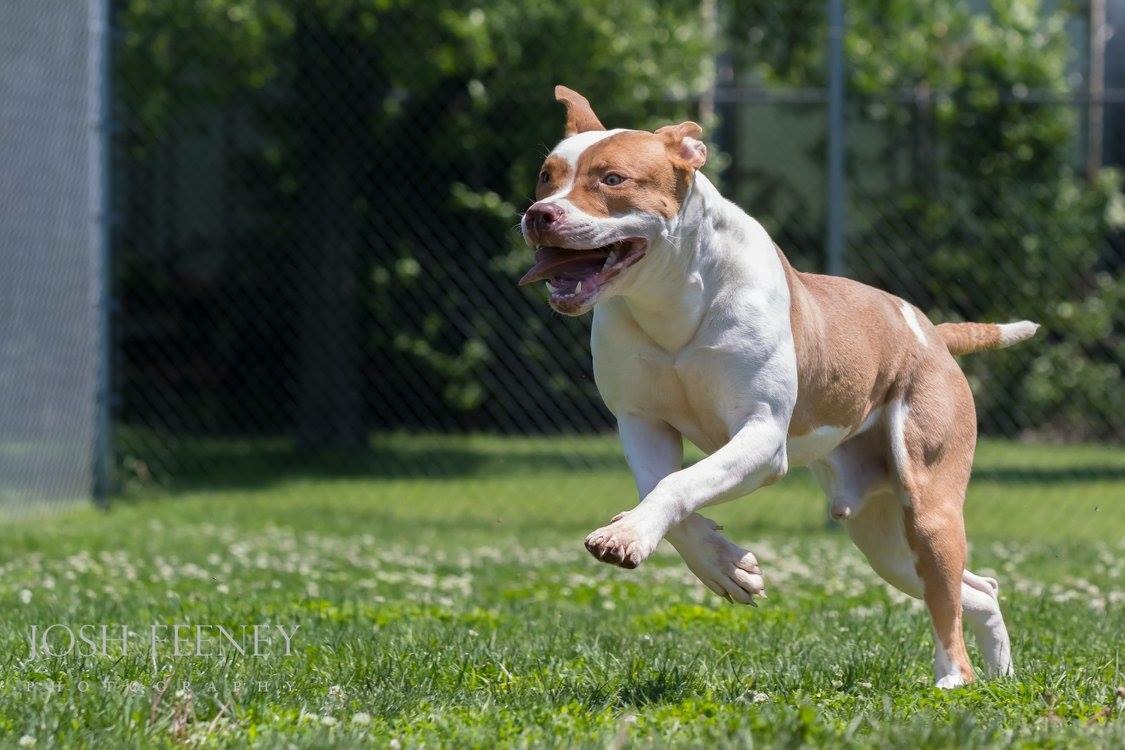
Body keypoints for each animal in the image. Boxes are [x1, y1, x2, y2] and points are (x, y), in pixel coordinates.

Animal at [518, 86, 1038, 688]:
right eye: (546, 176)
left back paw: (955, 678)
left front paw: (626, 537)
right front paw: (725, 566)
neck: (671, 299)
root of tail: (931, 332)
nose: (539, 215)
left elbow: (680, 484)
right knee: (970, 590)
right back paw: (1001, 675)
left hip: (929, 504)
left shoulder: (762, 437)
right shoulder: (641, 424)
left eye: (612, 179)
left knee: (947, 597)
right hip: (883, 537)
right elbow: (663, 488)